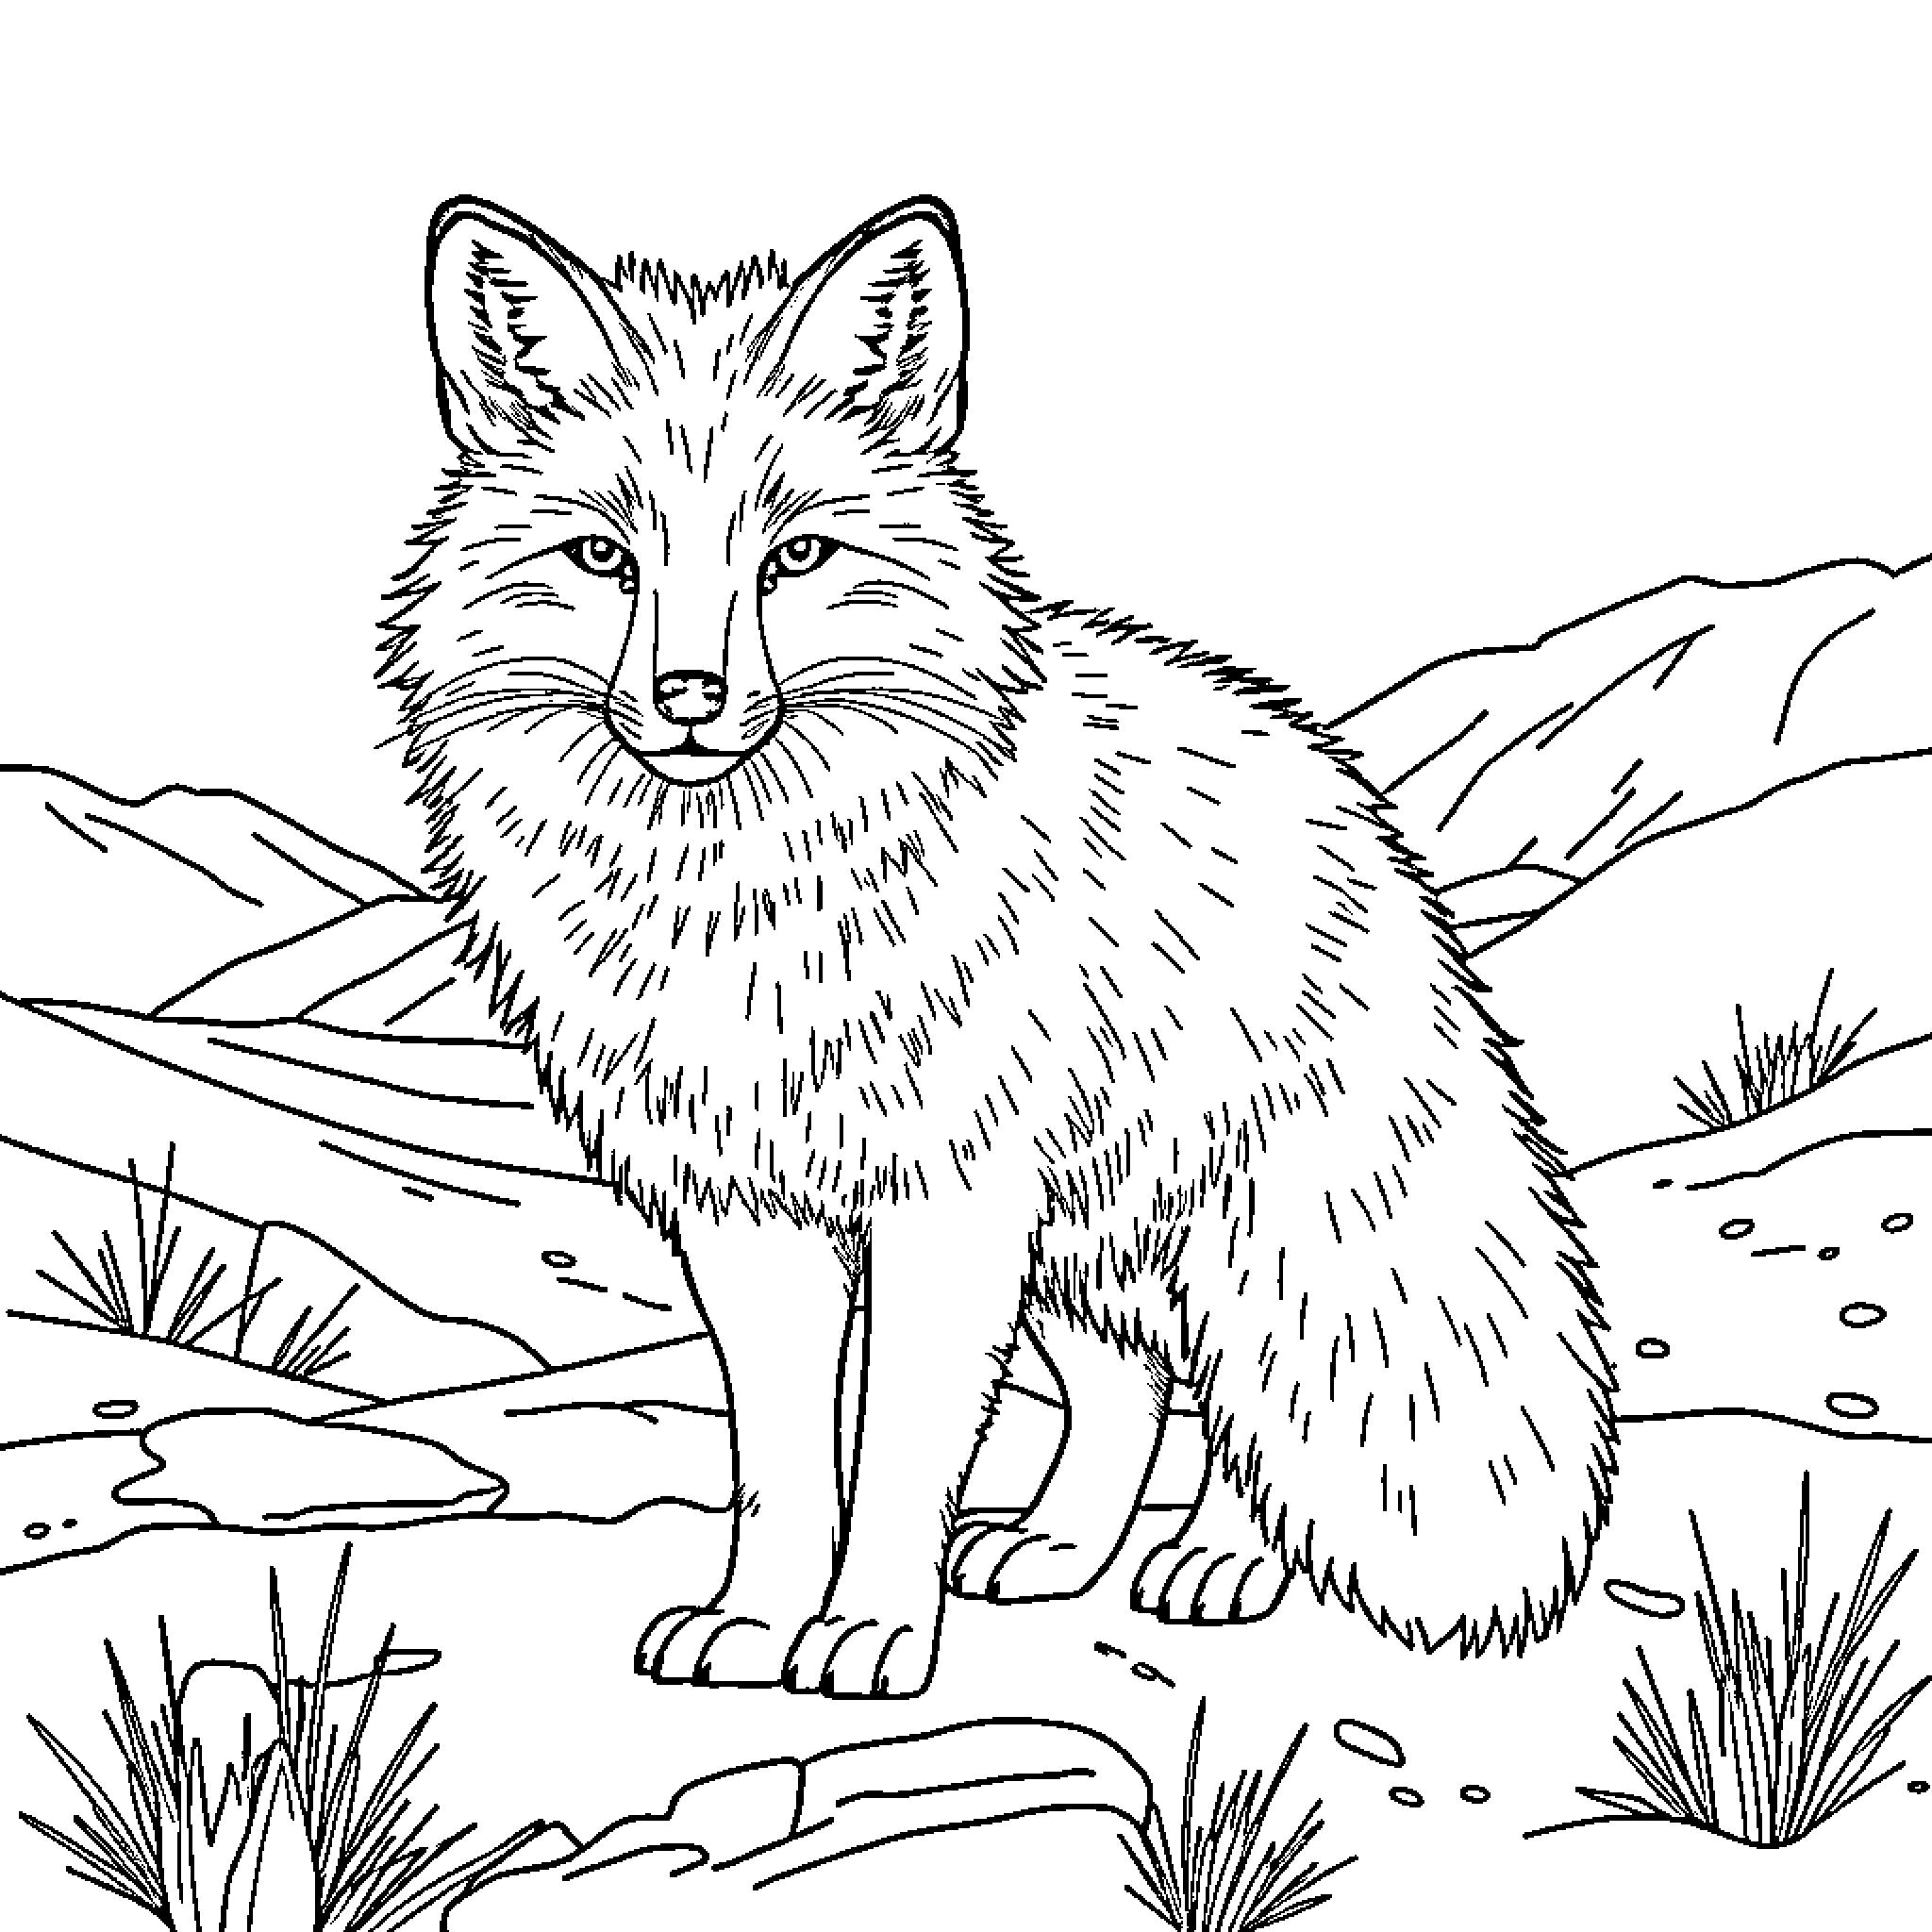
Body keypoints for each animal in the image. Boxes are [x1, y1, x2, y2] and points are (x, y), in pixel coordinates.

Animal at [380, 192, 1618, 1698]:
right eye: (605, 558)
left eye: (795, 557)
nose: (689, 698)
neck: (743, 904)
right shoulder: (750, 1212)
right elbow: (780, 1462)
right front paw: (755, 1621)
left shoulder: (943, 1201)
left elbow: (901, 1450)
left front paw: (866, 1634)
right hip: (1082, 1242)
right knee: (1132, 1384)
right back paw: (1059, 1548)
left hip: (1224, 1228)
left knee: (1245, 1397)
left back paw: (1220, 1562)